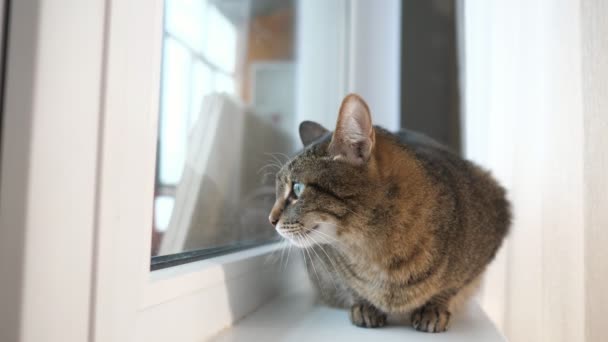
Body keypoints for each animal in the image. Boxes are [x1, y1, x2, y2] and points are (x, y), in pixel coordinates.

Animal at [268, 94, 510, 334]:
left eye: (297, 188)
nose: (271, 220)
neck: (376, 251)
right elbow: (350, 286)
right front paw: (364, 306)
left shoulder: (497, 218)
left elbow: (451, 286)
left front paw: (433, 309)